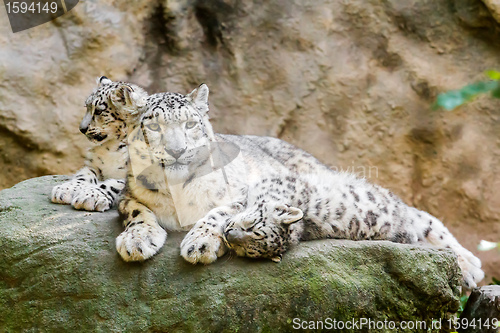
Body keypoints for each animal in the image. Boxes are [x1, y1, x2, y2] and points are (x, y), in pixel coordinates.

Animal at [51, 76, 147, 210]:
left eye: (99, 111)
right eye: (86, 107)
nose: (81, 128)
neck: (112, 147)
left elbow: (114, 185)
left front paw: (90, 196)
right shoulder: (93, 165)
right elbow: (83, 175)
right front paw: (65, 189)